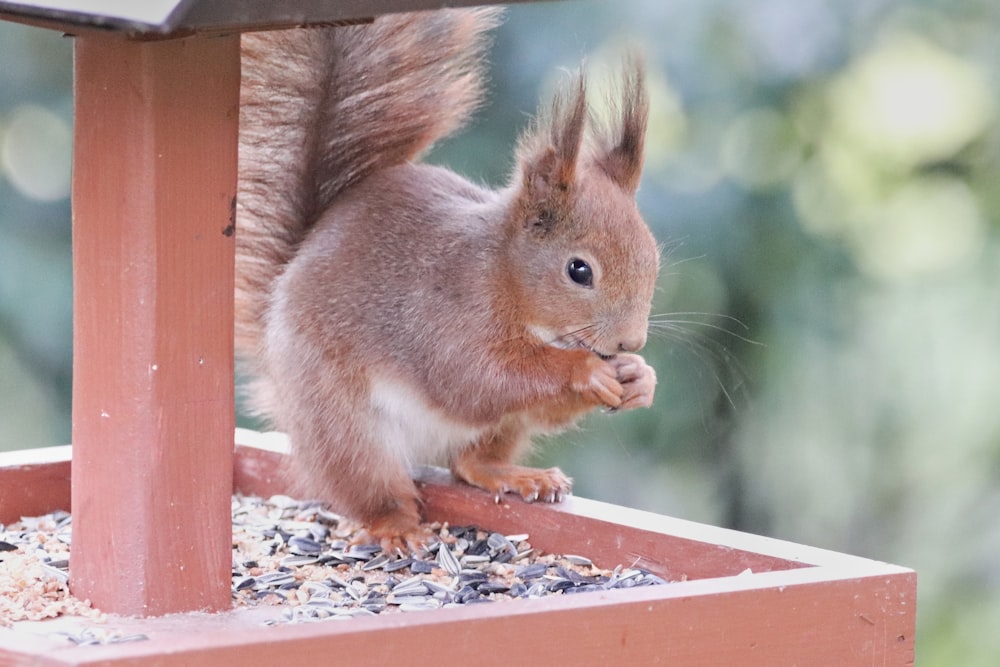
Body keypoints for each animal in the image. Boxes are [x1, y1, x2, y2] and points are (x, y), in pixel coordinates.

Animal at [237, 6, 660, 548]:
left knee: (469, 462)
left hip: (501, 429)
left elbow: (534, 403)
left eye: (653, 257)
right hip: (342, 425)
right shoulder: (445, 311)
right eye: (578, 270)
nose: (631, 342)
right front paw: (584, 370)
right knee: (371, 486)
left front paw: (639, 378)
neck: (504, 276)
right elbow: (474, 376)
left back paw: (513, 474)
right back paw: (398, 527)